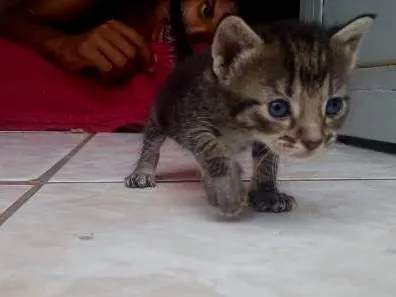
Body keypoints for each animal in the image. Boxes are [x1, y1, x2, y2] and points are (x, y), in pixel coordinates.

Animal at [124, 14, 374, 217]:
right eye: (278, 108)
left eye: (333, 106)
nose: (314, 142)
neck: (241, 126)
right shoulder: (189, 122)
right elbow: (210, 146)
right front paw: (229, 191)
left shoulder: (268, 138)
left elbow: (268, 161)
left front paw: (266, 194)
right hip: (162, 113)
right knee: (152, 142)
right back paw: (143, 171)